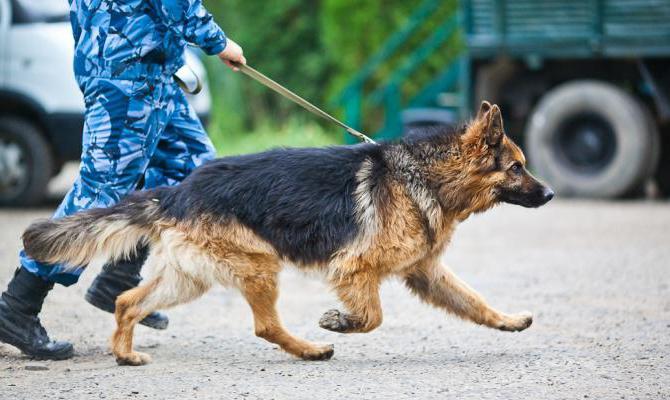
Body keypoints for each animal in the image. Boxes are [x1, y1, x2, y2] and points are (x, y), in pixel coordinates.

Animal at [22, 101, 556, 366]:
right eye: (517, 167)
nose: (551, 194)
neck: (427, 177)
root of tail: (178, 190)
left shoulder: (425, 272)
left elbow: (474, 301)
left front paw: (508, 321)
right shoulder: (355, 269)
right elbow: (373, 316)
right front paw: (338, 322)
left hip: (190, 278)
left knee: (127, 301)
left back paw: (124, 354)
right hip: (258, 265)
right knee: (264, 326)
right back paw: (312, 348)